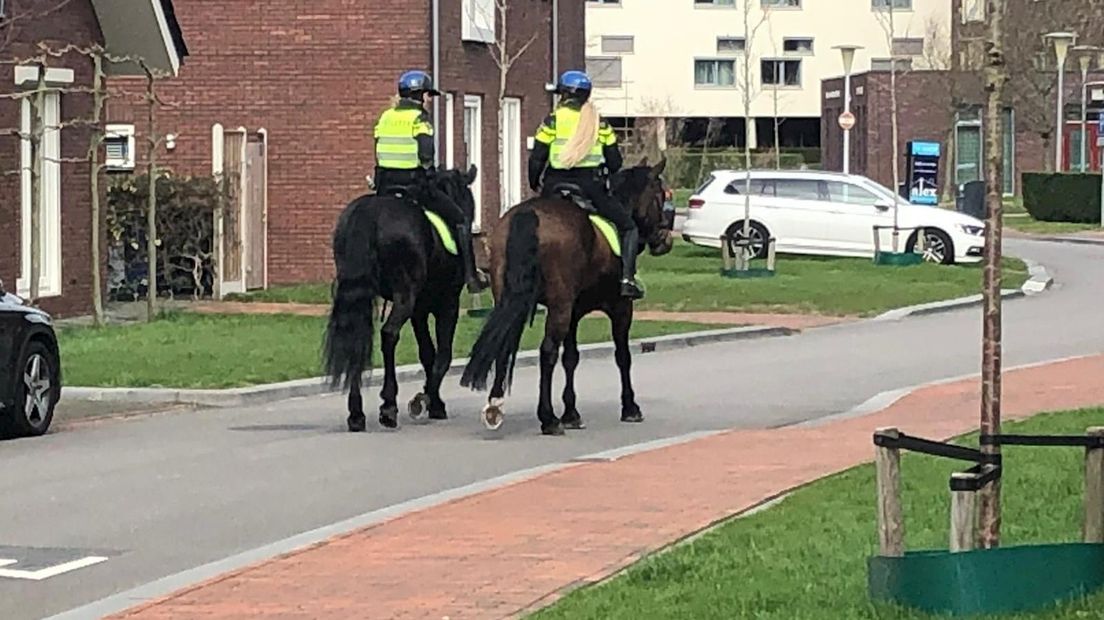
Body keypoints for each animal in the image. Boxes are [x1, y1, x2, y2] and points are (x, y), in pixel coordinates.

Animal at [320, 166, 474, 432]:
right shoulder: (447, 304)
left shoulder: (420, 310)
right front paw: (430, 401)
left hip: (360, 296)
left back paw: (356, 414)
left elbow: (427, 353)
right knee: (389, 334)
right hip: (405, 295)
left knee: (357, 339)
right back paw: (389, 406)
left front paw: (432, 400)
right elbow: (442, 354)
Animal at [459, 156, 671, 432]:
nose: (665, 240)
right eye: (660, 195)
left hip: (511, 299)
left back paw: (495, 405)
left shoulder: (574, 311)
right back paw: (547, 418)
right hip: (560, 305)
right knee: (547, 351)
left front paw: (571, 412)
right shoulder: (620, 308)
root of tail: (528, 215)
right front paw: (630, 407)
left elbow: (571, 358)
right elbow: (622, 356)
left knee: (504, 343)